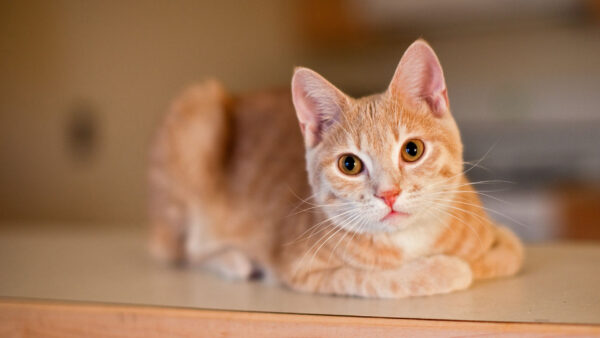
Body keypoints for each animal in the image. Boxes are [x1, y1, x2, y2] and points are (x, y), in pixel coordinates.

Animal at [148, 40, 524, 298]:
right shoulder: (301, 270)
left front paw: (472, 262)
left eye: (412, 150)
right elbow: (378, 279)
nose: (389, 194)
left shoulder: (501, 237)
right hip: (199, 111)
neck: (409, 240)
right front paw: (443, 269)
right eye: (349, 164)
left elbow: (506, 254)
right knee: (184, 251)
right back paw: (236, 262)